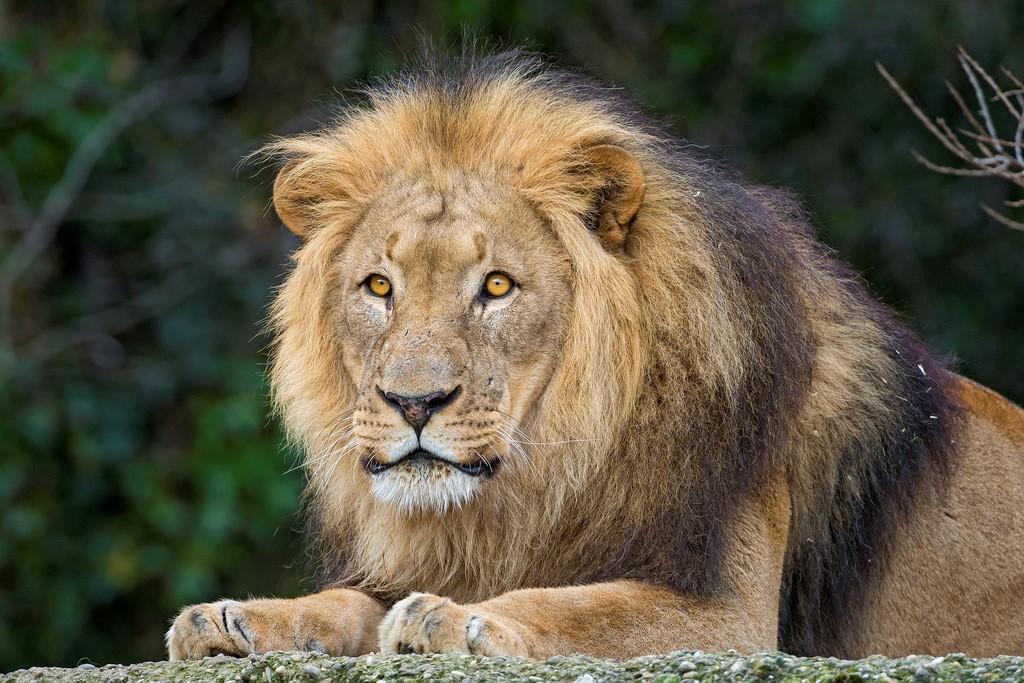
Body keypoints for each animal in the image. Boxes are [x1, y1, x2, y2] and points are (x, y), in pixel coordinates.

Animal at [166, 51, 1024, 661]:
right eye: (379, 285)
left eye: (498, 286)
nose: (414, 403)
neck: (546, 472)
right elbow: (342, 604)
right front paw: (231, 618)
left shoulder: (729, 614)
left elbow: (575, 603)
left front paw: (460, 618)